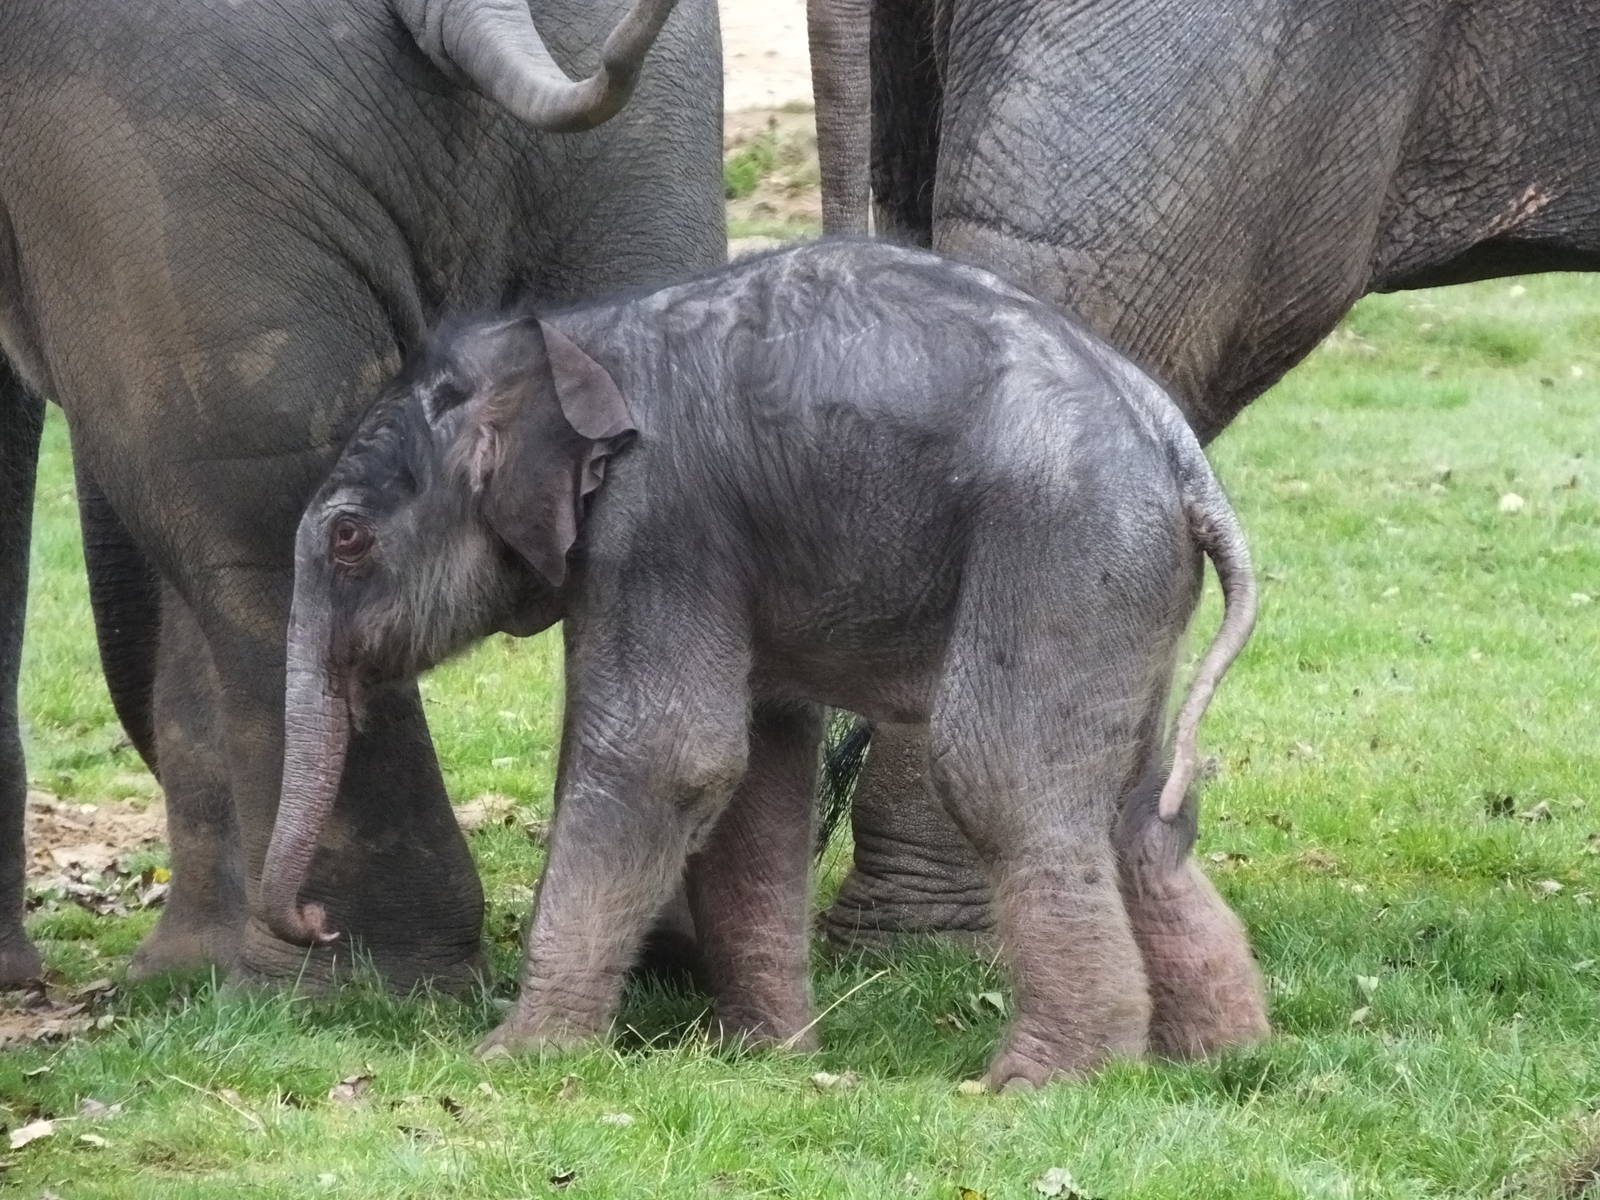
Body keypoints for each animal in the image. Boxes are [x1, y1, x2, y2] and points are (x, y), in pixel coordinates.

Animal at [263, 240, 1261, 1085]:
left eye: (348, 539)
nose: (318, 926)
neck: (570, 341)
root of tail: (1179, 454)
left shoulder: (659, 523)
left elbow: (666, 757)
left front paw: (512, 1060)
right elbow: (756, 777)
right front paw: (765, 1059)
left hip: (1062, 550)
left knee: (1002, 779)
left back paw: (1036, 1083)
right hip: (1128, 586)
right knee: (1141, 809)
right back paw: (1216, 1056)